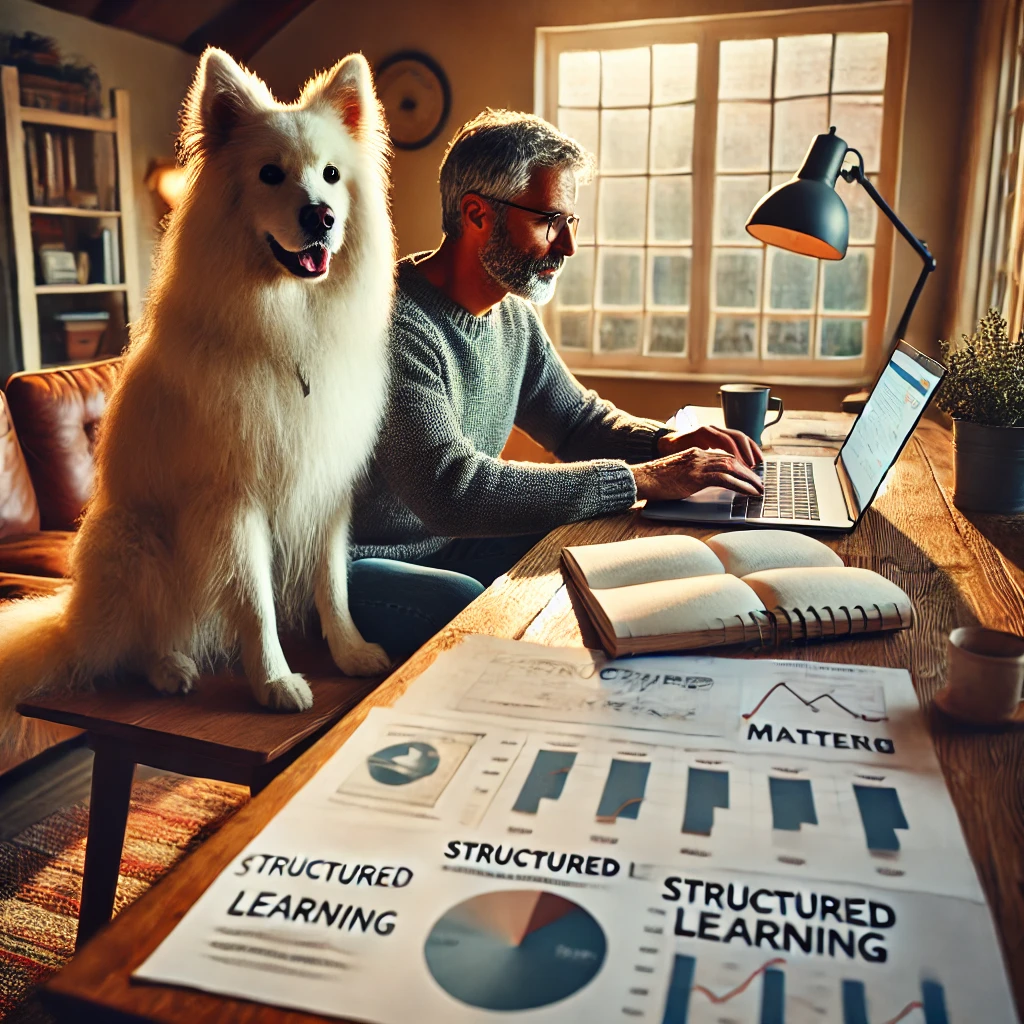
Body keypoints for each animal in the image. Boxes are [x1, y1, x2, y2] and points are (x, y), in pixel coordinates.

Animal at [0, 46, 395, 753]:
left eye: (331, 175)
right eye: (270, 175)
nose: (320, 216)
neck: (288, 328)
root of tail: (71, 622)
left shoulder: (327, 490)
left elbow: (334, 583)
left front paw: (349, 652)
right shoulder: (232, 502)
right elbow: (257, 603)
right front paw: (274, 683)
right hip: (137, 541)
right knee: (137, 644)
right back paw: (170, 668)